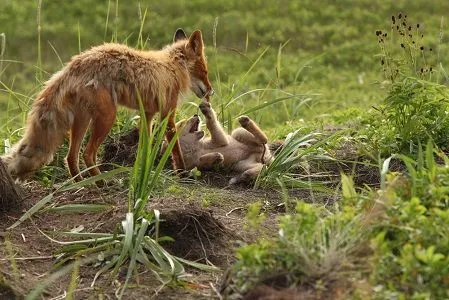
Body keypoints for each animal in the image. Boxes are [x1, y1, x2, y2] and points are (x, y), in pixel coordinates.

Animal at [0, 28, 213, 180]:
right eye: (205, 71)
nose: (211, 91)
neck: (172, 67)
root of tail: (73, 65)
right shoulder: (167, 113)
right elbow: (175, 148)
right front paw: (182, 173)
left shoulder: (148, 114)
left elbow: (145, 146)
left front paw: (144, 170)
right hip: (107, 117)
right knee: (87, 154)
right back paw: (101, 182)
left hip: (83, 121)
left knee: (71, 157)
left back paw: (83, 183)